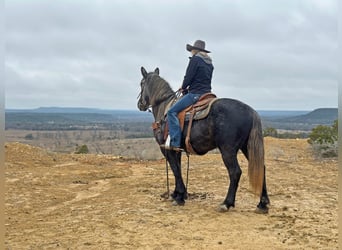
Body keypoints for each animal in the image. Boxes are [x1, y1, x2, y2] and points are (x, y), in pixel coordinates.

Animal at [137, 66, 270, 213]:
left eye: (141, 83)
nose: (140, 104)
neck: (164, 109)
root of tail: (251, 111)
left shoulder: (167, 149)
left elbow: (175, 169)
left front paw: (180, 197)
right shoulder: (176, 150)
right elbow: (178, 169)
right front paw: (177, 194)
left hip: (228, 150)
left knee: (235, 172)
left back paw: (226, 203)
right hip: (246, 147)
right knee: (261, 168)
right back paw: (262, 204)